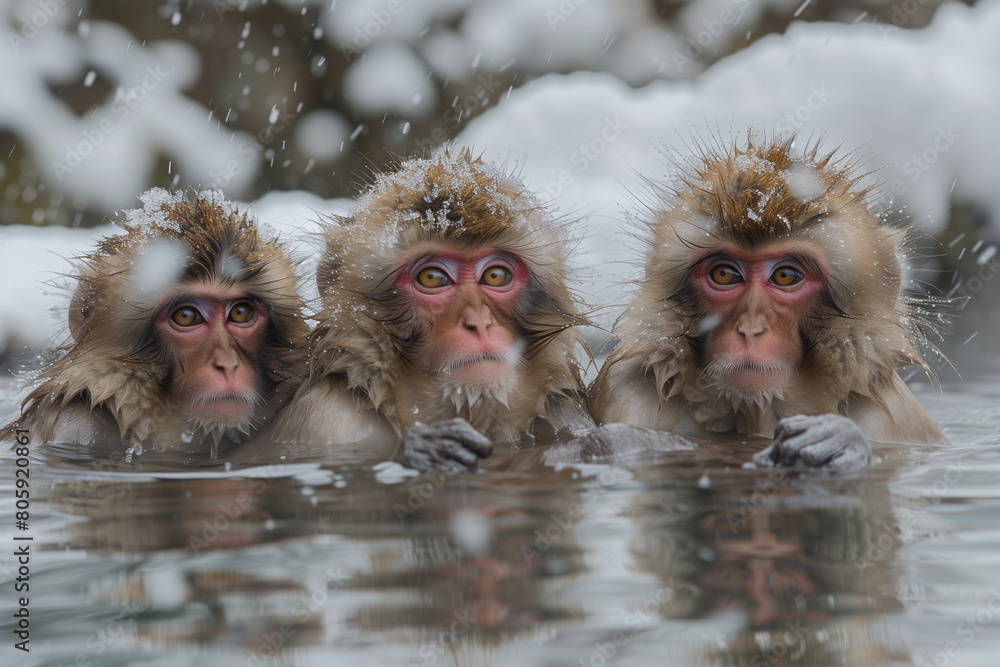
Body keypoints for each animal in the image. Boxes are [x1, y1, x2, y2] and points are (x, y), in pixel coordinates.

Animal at [589, 133, 947, 470]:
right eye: (724, 274)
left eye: (786, 276)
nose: (750, 329)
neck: (756, 410)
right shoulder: (627, 392)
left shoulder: (898, 419)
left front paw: (838, 440)